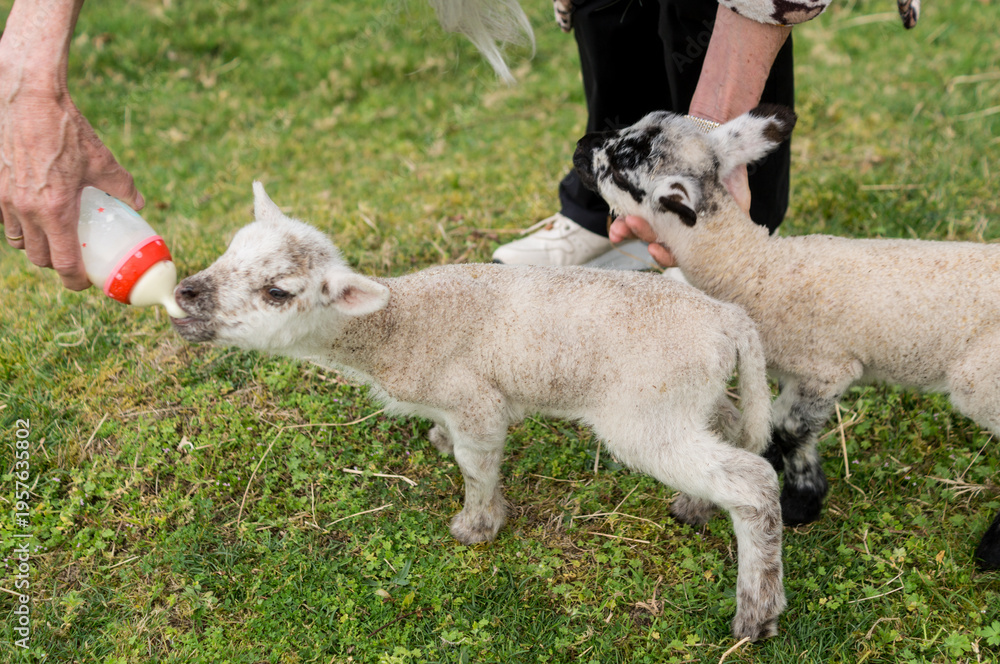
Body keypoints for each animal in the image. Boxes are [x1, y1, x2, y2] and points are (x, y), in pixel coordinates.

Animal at [170, 182, 785, 640]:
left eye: (278, 291)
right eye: (229, 250)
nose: (184, 294)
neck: (394, 327)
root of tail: (730, 319)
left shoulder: (475, 402)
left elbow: (476, 465)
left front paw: (478, 526)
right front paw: (440, 445)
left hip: (645, 414)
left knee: (752, 482)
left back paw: (756, 613)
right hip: (691, 396)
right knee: (731, 428)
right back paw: (695, 507)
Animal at [572, 104, 1000, 571]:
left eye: (619, 168)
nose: (581, 146)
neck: (754, 268)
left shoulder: (828, 369)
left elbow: (792, 428)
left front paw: (803, 501)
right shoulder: (793, 372)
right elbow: (775, 422)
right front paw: (776, 466)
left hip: (982, 382)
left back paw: (993, 550)